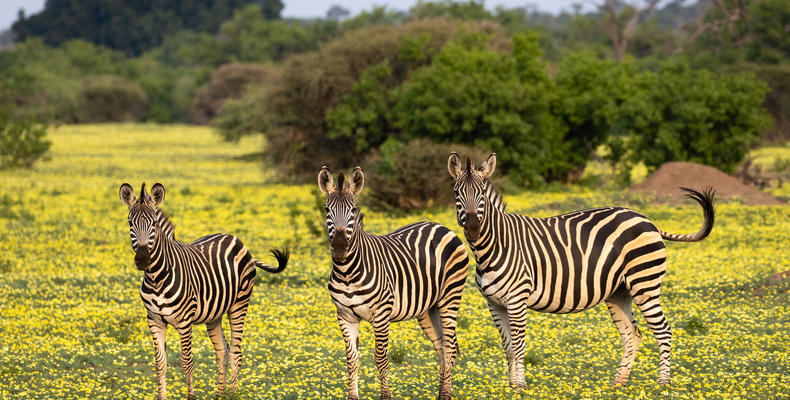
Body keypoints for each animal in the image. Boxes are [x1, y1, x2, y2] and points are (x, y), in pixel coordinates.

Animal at [119, 183, 288, 400]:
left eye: (154, 224)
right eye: (130, 223)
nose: (142, 259)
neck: (157, 277)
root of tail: (233, 237)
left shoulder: (184, 322)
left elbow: (186, 362)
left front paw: (191, 396)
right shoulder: (154, 320)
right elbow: (160, 364)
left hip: (239, 305)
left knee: (236, 353)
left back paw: (233, 393)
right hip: (214, 314)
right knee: (223, 351)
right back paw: (220, 394)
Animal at [317, 166, 470, 400]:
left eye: (354, 210)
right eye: (326, 210)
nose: (341, 248)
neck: (347, 272)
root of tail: (440, 225)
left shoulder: (381, 314)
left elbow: (381, 359)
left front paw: (385, 396)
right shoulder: (345, 316)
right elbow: (351, 360)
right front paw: (353, 396)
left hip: (450, 297)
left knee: (450, 347)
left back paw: (445, 395)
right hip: (428, 308)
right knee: (442, 346)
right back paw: (441, 392)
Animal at [447, 152, 715, 389]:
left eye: (481, 193)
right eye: (456, 193)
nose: (473, 228)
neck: (493, 247)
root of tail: (648, 221)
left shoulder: (517, 299)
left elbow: (519, 345)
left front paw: (520, 386)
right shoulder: (494, 303)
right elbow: (509, 348)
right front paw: (511, 387)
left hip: (644, 284)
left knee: (663, 330)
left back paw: (662, 384)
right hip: (619, 292)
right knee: (632, 334)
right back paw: (618, 385)